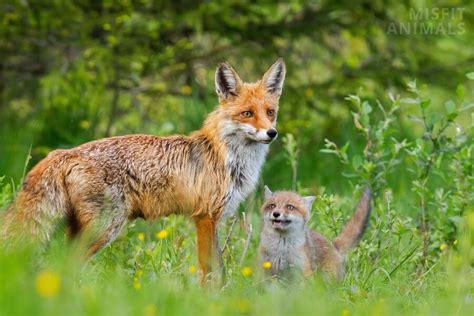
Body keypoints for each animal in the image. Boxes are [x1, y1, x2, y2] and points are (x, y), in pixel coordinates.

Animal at [1, 58, 286, 280]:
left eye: (270, 112)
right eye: (247, 113)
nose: (271, 133)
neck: (226, 157)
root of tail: (63, 153)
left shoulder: (214, 219)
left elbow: (221, 270)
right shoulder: (205, 216)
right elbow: (209, 272)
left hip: (82, 229)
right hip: (105, 227)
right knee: (64, 267)